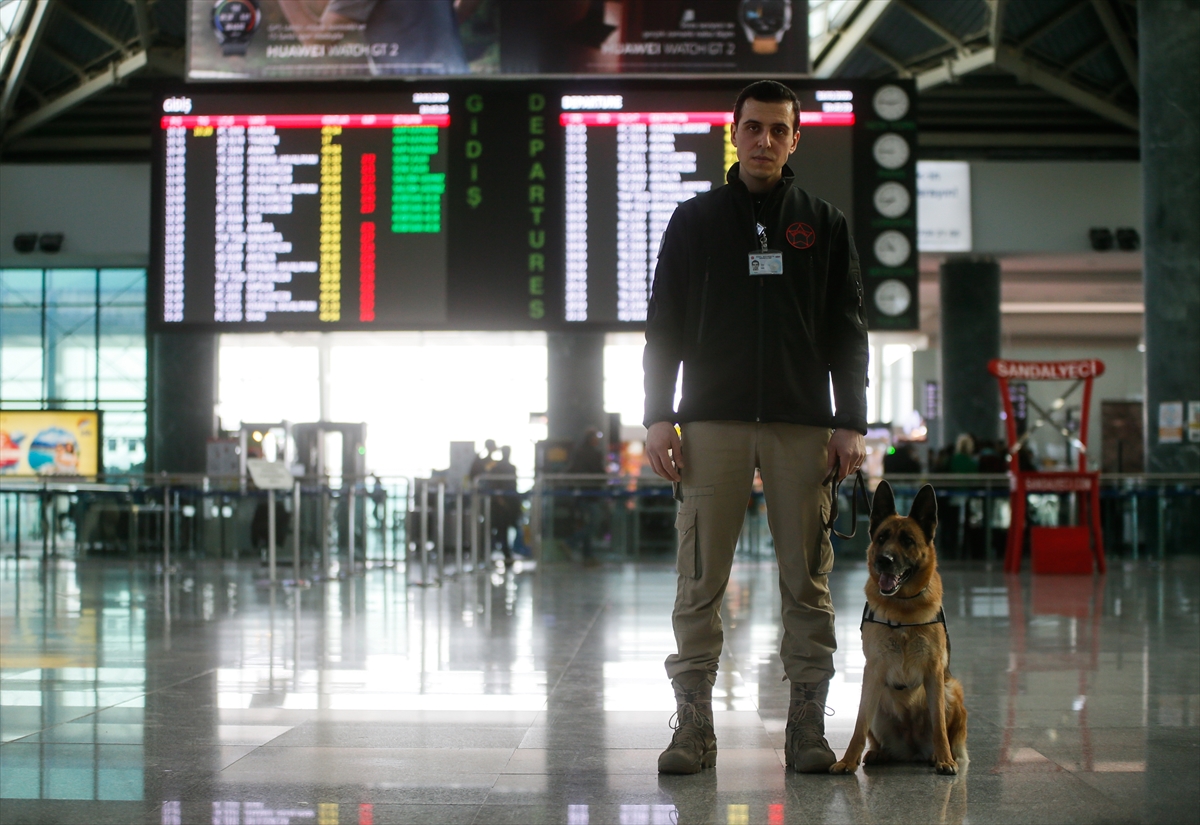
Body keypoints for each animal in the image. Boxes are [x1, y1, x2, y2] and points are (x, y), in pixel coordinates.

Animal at [830, 479, 969, 777]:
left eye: (907, 541)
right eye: (882, 537)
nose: (884, 560)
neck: (903, 607)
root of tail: (912, 751)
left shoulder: (934, 670)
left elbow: (939, 725)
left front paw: (944, 759)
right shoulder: (873, 670)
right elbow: (859, 725)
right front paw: (848, 760)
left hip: (951, 690)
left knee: (945, 731)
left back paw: (938, 755)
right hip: (876, 696)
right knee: (873, 732)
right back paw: (879, 753)